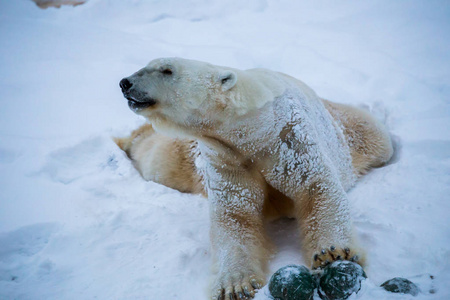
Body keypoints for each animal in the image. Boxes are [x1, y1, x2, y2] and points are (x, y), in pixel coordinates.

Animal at [118, 57, 392, 298]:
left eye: (167, 70)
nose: (125, 82)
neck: (251, 129)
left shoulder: (289, 138)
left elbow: (316, 187)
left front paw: (334, 254)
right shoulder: (225, 156)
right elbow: (234, 213)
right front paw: (235, 286)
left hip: (348, 132)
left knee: (376, 136)